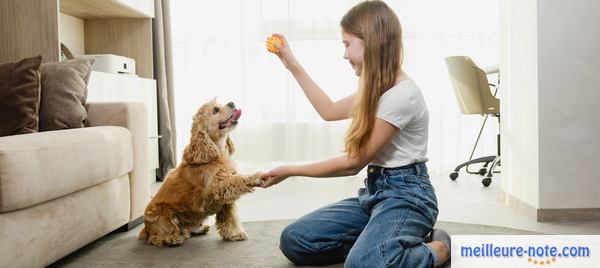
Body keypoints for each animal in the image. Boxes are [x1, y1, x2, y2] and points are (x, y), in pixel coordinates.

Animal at [142, 99, 264, 247]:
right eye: (215, 110)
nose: (231, 103)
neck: (216, 152)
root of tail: (145, 229)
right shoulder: (216, 187)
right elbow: (238, 179)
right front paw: (254, 177)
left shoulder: (225, 196)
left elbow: (230, 217)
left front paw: (235, 233)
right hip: (162, 214)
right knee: (157, 236)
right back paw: (172, 239)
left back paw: (198, 229)